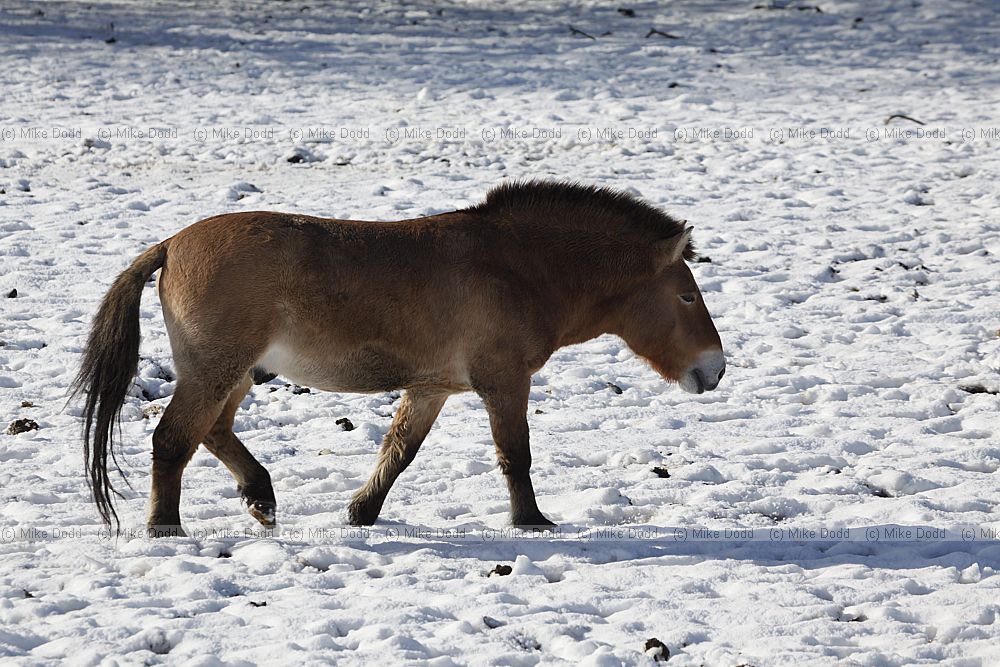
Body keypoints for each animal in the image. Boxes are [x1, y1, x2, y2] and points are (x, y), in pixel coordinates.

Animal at [73, 180, 725, 537]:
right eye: (687, 296)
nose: (715, 368)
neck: (518, 266)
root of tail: (170, 245)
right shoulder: (504, 383)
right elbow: (515, 456)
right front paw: (531, 520)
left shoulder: (432, 387)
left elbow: (399, 452)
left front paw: (361, 512)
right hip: (216, 371)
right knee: (173, 441)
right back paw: (166, 526)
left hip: (231, 375)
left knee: (212, 432)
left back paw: (261, 496)